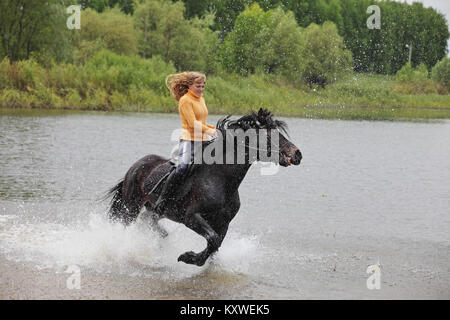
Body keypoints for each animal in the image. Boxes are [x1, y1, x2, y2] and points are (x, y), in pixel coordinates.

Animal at [105, 109, 302, 266]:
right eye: (269, 134)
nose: (297, 154)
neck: (221, 180)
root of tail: (135, 166)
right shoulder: (190, 217)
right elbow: (213, 240)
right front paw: (188, 257)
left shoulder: (223, 223)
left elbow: (215, 244)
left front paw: (194, 258)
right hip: (130, 206)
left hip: (154, 210)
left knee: (150, 222)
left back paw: (161, 236)